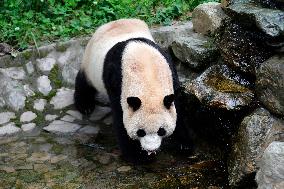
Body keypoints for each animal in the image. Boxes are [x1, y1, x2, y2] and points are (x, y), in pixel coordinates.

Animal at [74, 18, 192, 162]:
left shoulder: (170, 72)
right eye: (141, 132)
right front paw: (138, 156)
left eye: (161, 130)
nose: (151, 149)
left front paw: (184, 145)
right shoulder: (116, 82)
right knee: (84, 83)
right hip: (91, 63)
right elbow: (121, 118)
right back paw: (85, 105)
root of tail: (113, 22)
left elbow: (177, 110)